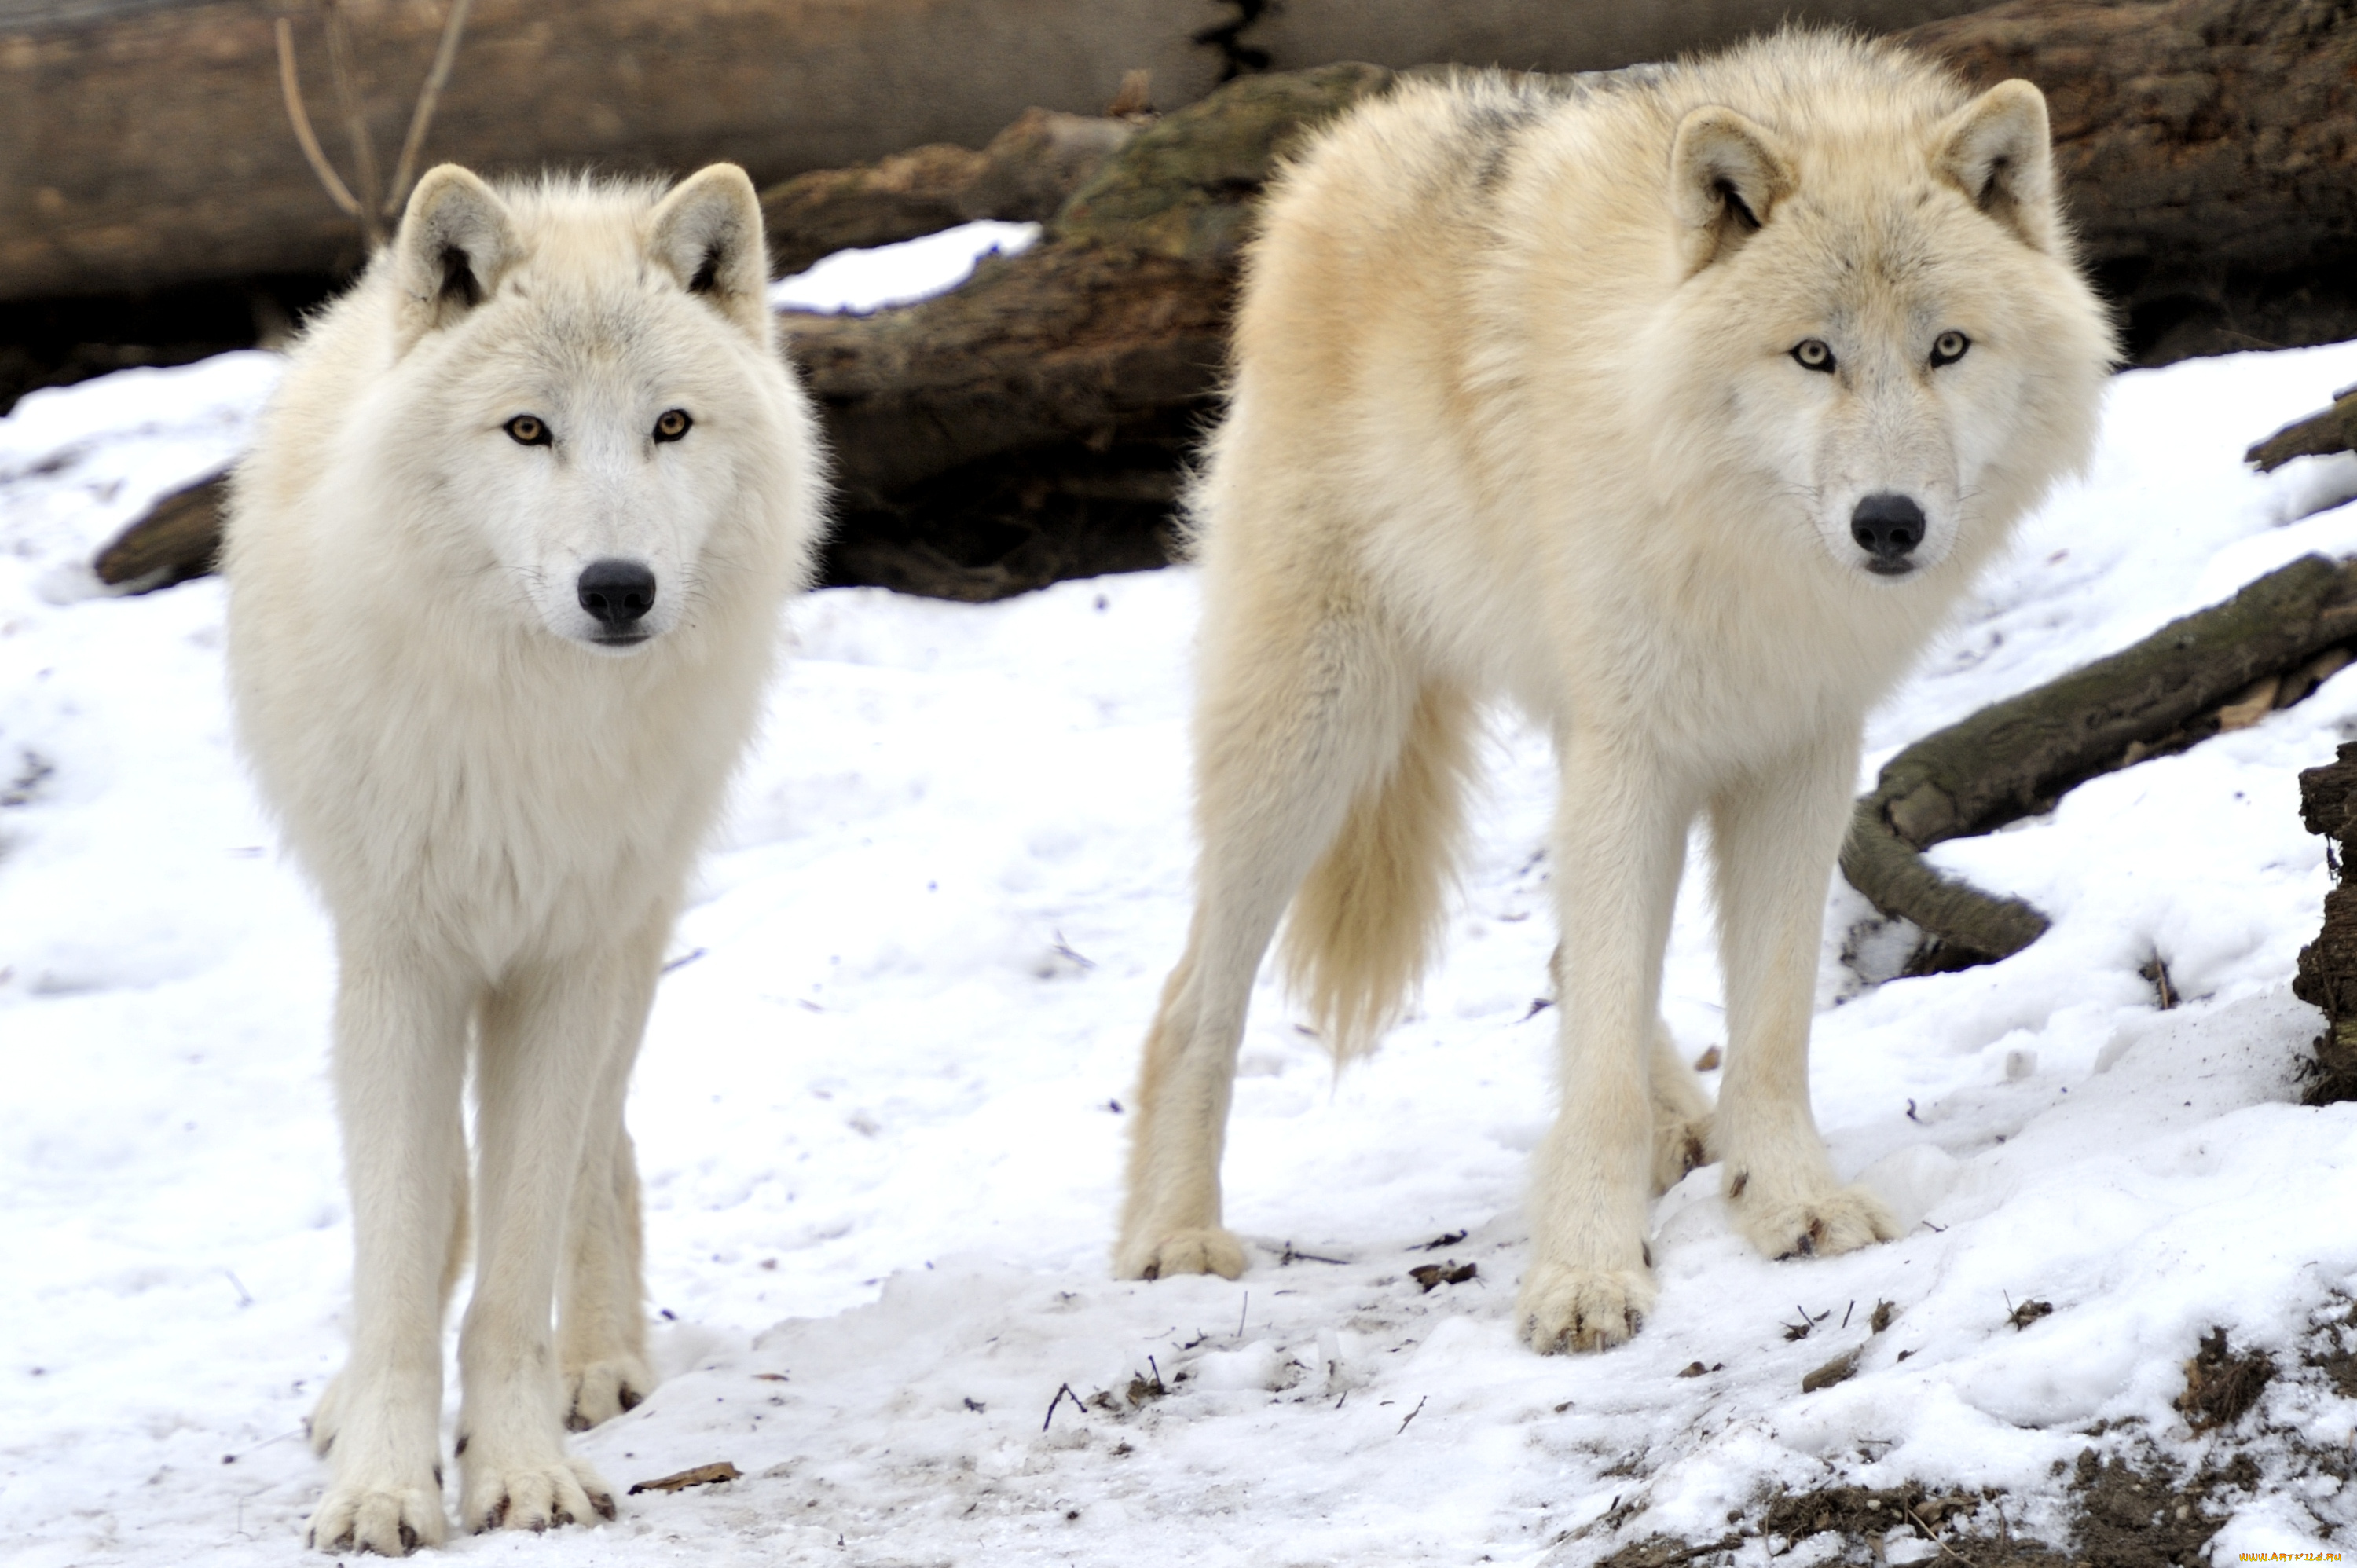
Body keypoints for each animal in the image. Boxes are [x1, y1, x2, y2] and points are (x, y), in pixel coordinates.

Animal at [225, 165, 825, 1546]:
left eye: (670, 426)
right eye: (528, 431)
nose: (619, 588)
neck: (536, 724)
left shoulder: (565, 963)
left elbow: (516, 1261)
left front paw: (522, 1468)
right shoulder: (402, 963)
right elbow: (406, 1250)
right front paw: (383, 1486)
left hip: (631, 937)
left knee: (599, 1154)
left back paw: (599, 1364)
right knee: (447, 1196)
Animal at [1122, 39, 2121, 1357]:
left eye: (1947, 349)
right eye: (1814, 355)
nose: (1889, 524)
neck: (1751, 549)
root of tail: (1340, 144)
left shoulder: (1799, 753)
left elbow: (1770, 1023)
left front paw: (1786, 1198)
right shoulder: (1636, 749)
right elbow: (1595, 1054)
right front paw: (1587, 1275)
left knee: (1570, 952)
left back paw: (1684, 1130)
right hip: (1318, 736)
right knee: (1193, 997)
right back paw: (1174, 1237)